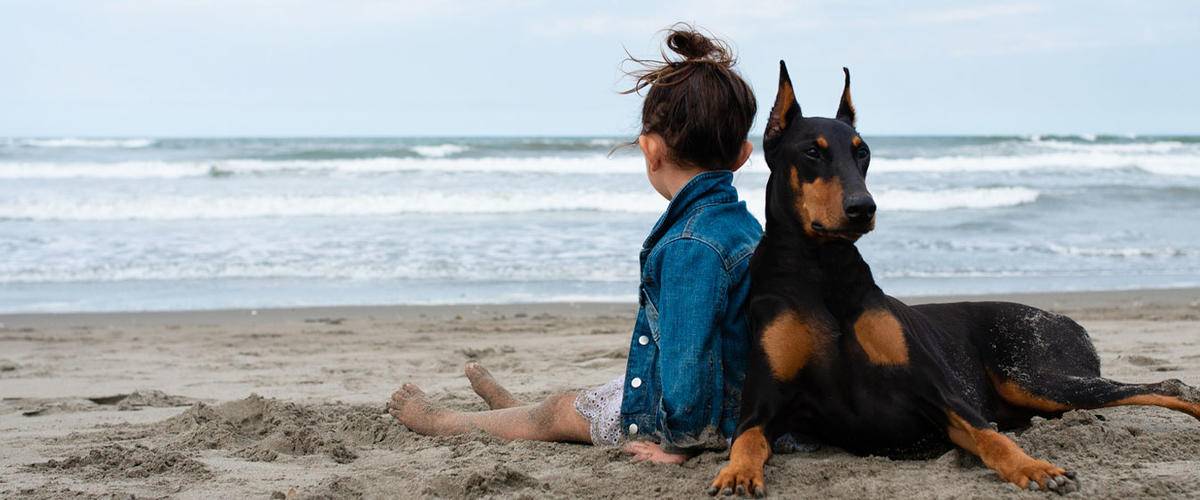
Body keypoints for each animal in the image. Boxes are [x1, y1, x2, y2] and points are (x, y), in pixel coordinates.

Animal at [705, 60, 1195, 494]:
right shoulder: (762, 405)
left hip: (1035, 375)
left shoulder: (939, 391)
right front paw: (736, 475)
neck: (822, 271)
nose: (864, 208)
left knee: (1166, 384)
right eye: (812, 151)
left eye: (863, 152)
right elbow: (746, 441)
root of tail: (1065, 319)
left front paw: (1034, 467)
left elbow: (988, 435)